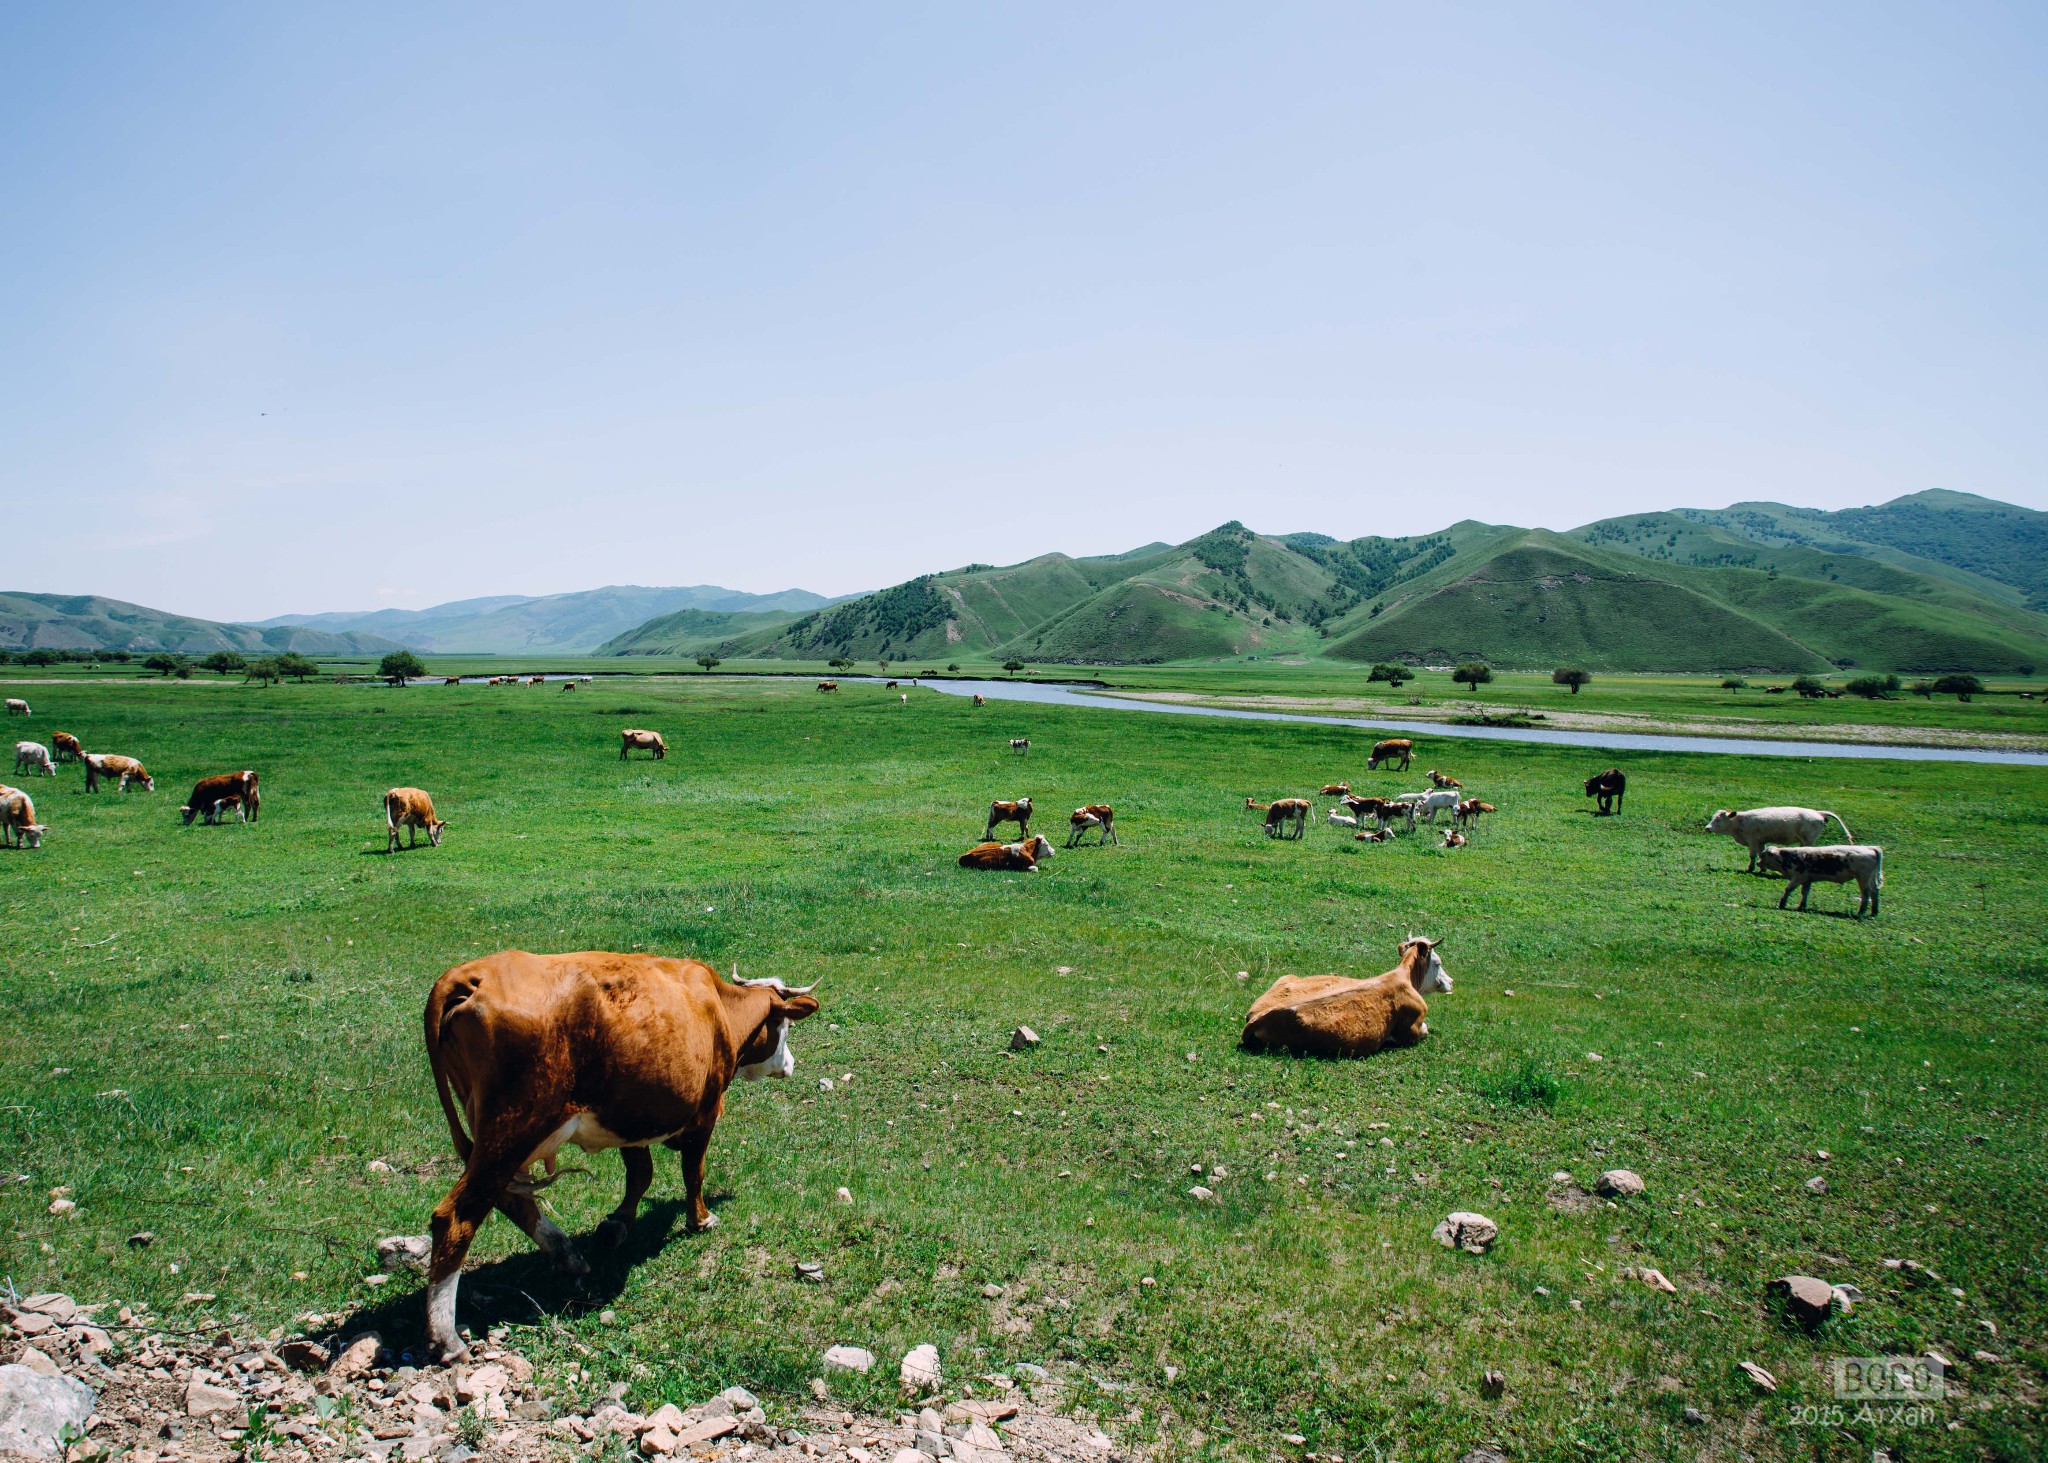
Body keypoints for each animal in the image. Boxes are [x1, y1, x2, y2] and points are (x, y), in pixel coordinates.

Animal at [421, 950, 815, 1360]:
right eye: (785, 1024)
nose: (790, 1064)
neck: (719, 1009)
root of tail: (471, 974)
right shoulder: (705, 1112)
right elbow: (694, 1172)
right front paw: (701, 1219)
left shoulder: (634, 1118)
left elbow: (640, 1174)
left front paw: (619, 1222)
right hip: (511, 1131)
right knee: (456, 1217)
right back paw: (446, 1336)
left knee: (511, 1200)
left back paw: (567, 1255)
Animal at [1695, 803, 1859, 872]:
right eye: (1713, 817)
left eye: (1718, 819)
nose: (1707, 828)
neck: (1740, 821)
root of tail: (1818, 813)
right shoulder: (1760, 842)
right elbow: (1761, 854)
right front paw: (1762, 869)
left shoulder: (1752, 840)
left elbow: (1752, 855)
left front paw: (1750, 869)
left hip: (1809, 840)